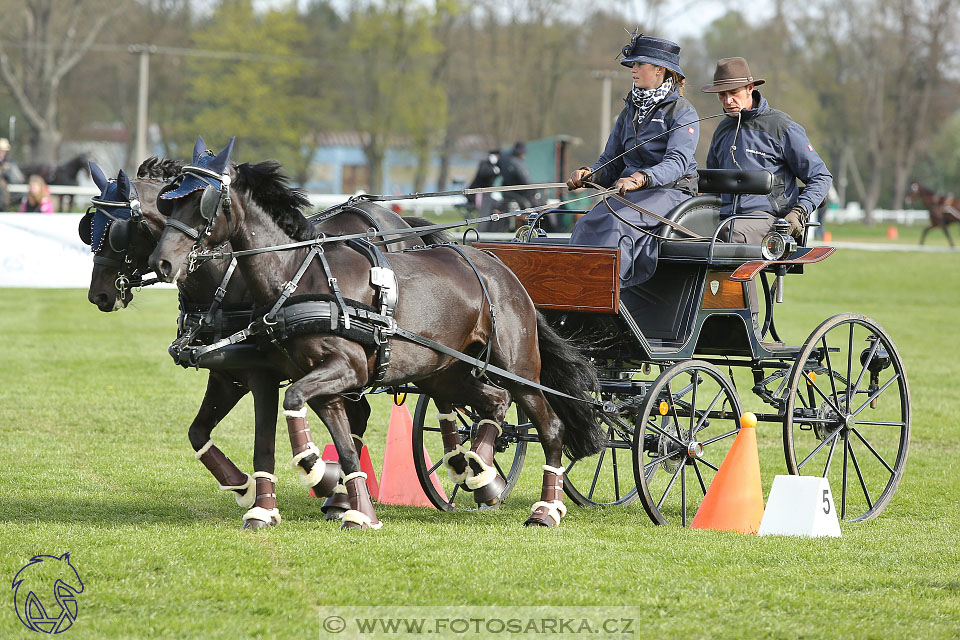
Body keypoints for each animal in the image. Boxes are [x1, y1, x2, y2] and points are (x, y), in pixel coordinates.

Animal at [84, 142, 444, 528]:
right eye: (89, 227)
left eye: (118, 230)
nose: (98, 295)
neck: (227, 278)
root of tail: (398, 221)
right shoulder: (227, 374)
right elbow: (199, 433)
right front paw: (245, 488)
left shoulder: (262, 374)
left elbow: (264, 440)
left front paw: (289, 487)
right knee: (356, 415)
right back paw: (341, 499)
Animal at [148, 139, 600, 528]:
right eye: (168, 200)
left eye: (202, 202)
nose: (162, 263)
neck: (298, 276)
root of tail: (501, 269)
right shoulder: (301, 378)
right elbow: (340, 445)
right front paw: (352, 508)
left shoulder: (344, 369)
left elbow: (298, 406)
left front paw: (315, 468)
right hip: (445, 371)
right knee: (494, 402)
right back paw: (477, 467)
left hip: (517, 368)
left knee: (548, 425)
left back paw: (542, 506)